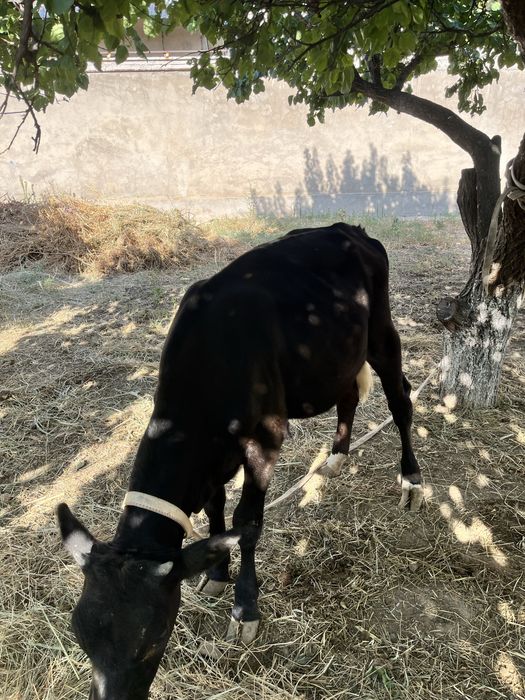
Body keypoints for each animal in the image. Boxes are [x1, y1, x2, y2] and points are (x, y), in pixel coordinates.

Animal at [57, 223, 422, 700]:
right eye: (80, 635)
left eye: (154, 638)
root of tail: (348, 229)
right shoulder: (213, 458)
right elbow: (216, 511)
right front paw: (216, 572)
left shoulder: (265, 436)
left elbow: (246, 521)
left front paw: (245, 608)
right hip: (339, 354)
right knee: (348, 394)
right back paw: (335, 459)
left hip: (381, 332)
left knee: (401, 398)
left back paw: (412, 479)